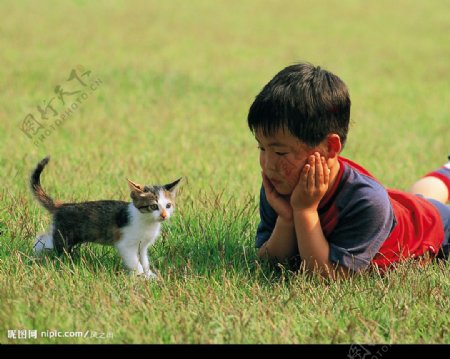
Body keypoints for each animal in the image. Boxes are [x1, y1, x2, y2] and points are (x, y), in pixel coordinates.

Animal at [30, 156, 181, 280]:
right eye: (154, 206)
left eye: (168, 205)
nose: (164, 215)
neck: (147, 222)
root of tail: (61, 205)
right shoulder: (126, 245)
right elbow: (135, 263)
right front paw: (140, 277)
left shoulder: (142, 246)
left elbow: (144, 261)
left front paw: (149, 275)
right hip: (64, 238)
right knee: (48, 243)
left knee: (44, 238)